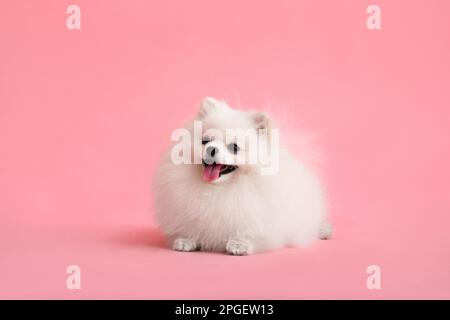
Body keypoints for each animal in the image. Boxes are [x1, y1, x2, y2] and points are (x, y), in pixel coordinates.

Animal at [153, 97, 332, 255]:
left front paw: (240, 245)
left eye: (234, 147)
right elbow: (191, 226)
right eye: (205, 141)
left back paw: (325, 230)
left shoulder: (258, 219)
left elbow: (249, 232)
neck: (220, 188)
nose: (211, 149)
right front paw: (186, 240)